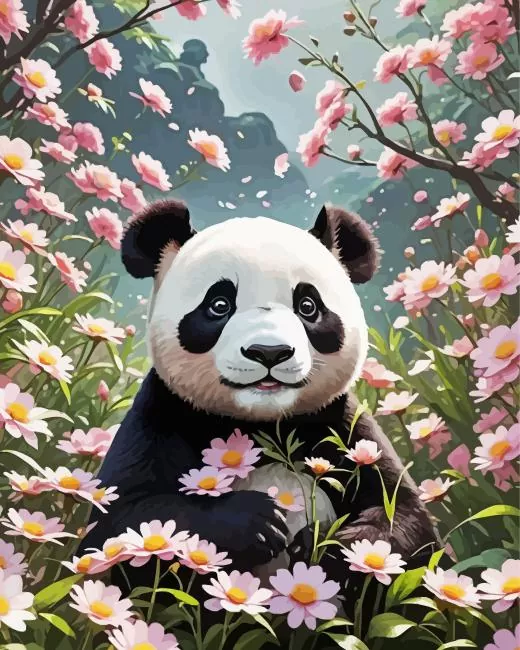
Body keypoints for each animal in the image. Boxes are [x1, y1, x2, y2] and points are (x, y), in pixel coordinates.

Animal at [80, 199, 438, 599]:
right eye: (219, 304)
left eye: (308, 306)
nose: (269, 352)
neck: (262, 424)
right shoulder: (162, 412)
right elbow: (123, 522)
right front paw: (257, 521)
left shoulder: (344, 426)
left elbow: (403, 516)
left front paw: (326, 546)